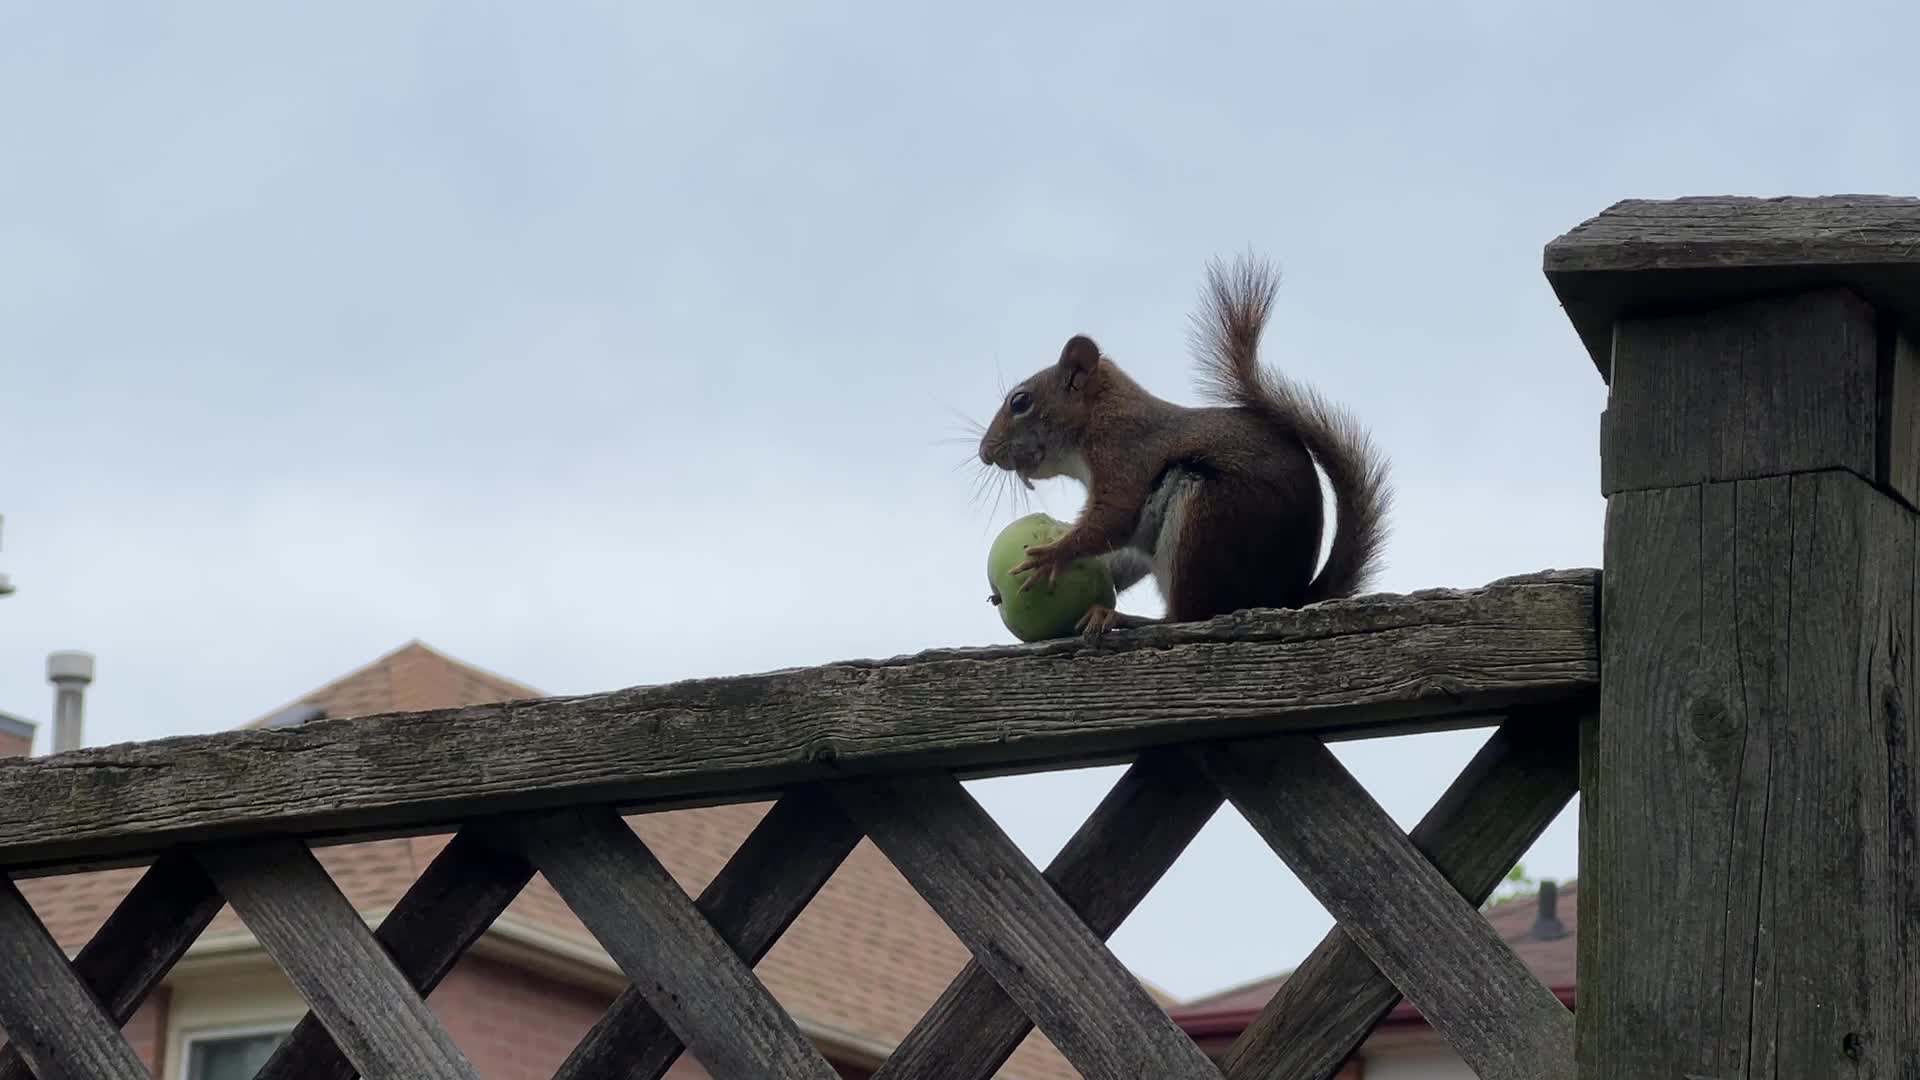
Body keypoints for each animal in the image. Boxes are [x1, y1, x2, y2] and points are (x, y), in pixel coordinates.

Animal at [976, 253, 1391, 638]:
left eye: (1020, 402)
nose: (985, 453)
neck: (1100, 415)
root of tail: (1287, 597)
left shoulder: (1124, 454)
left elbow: (1113, 518)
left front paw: (1051, 555)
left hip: (1203, 523)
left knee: (1186, 616)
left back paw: (1123, 619)